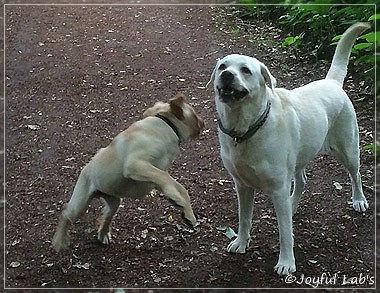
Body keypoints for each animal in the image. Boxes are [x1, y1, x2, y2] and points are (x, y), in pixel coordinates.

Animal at [52, 93, 205, 251]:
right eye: (195, 115)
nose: (204, 123)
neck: (166, 124)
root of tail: (86, 168)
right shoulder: (135, 164)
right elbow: (165, 178)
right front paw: (177, 199)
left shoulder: (155, 171)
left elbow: (177, 186)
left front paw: (186, 211)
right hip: (80, 204)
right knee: (65, 213)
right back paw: (59, 241)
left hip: (114, 202)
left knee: (106, 216)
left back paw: (103, 234)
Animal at [209, 22, 370, 274]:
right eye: (223, 66)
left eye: (245, 70)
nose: (226, 75)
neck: (247, 128)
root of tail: (332, 82)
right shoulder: (242, 186)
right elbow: (244, 219)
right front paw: (241, 242)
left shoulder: (277, 187)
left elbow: (285, 232)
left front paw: (286, 262)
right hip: (298, 157)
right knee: (301, 181)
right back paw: (293, 204)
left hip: (348, 149)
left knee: (356, 174)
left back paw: (359, 200)